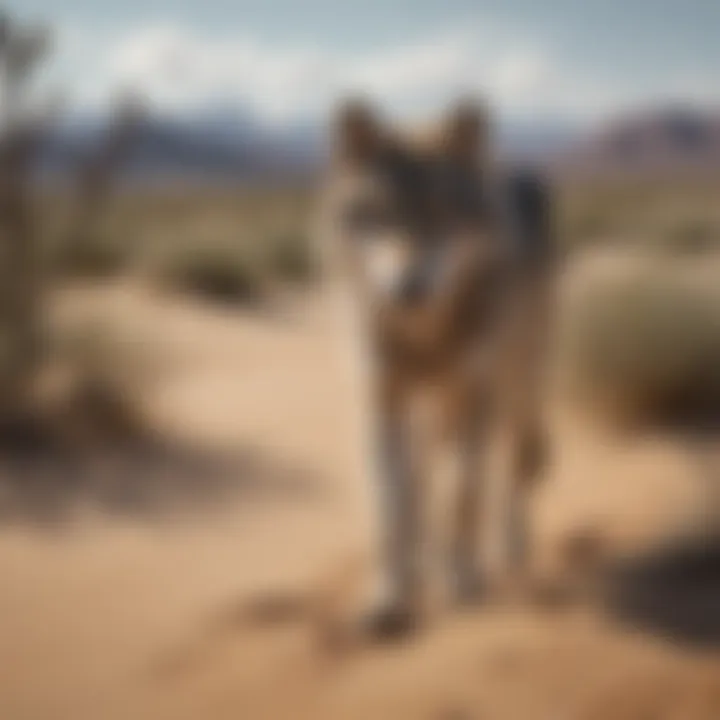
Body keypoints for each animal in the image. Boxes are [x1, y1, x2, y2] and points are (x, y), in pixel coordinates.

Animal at [316, 97, 556, 640]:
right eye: (381, 215)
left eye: (442, 216)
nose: (407, 287)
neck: (425, 336)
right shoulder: (383, 402)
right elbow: (392, 508)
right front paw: (391, 596)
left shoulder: (476, 397)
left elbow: (464, 495)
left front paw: (462, 579)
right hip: (430, 407)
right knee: (424, 479)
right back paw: (425, 561)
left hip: (518, 392)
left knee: (513, 471)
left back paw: (510, 547)